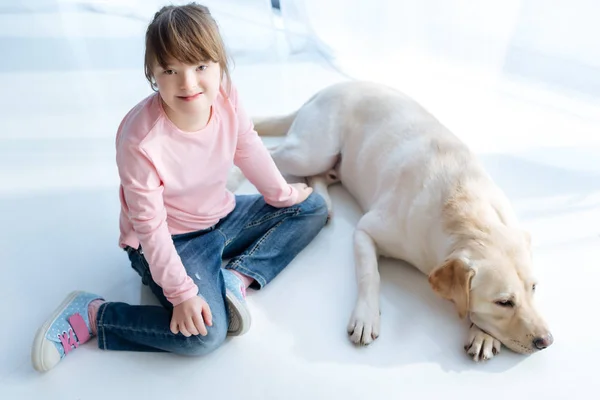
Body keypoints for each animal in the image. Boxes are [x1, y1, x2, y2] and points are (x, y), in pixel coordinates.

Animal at [238, 79, 552, 360]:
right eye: (503, 302)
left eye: (534, 288)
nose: (546, 341)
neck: (465, 211)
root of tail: (330, 87)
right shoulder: (366, 231)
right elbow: (370, 275)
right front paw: (366, 316)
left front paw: (483, 334)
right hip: (309, 153)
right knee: (269, 155)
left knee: (318, 174)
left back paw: (324, 201)